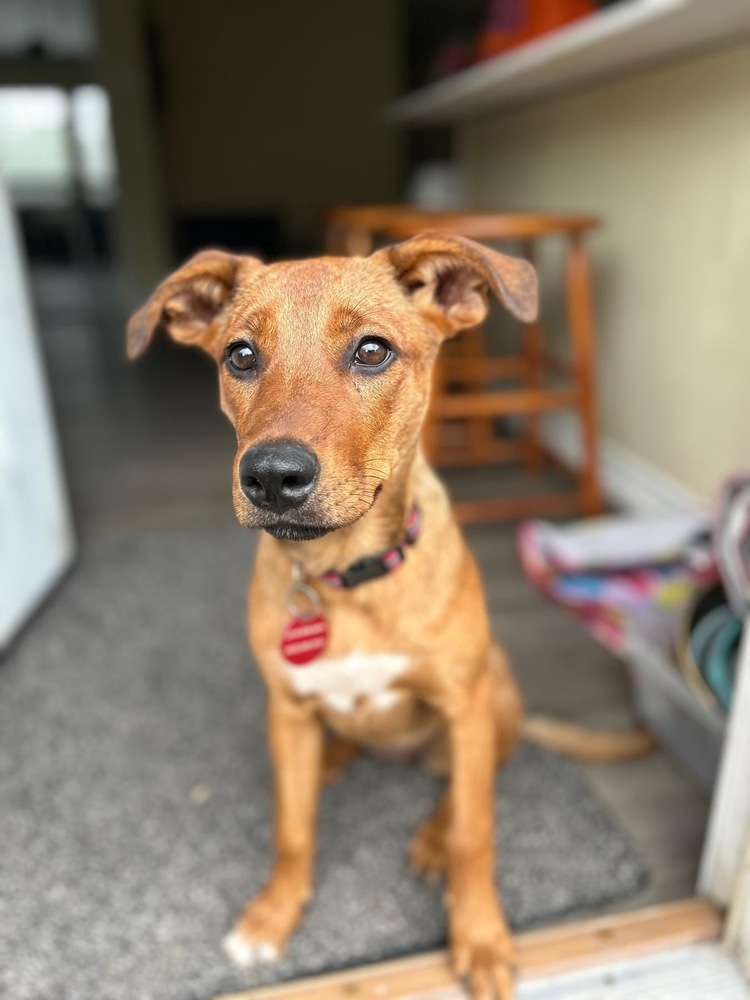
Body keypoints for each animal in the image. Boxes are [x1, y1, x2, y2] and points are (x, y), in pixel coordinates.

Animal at [128, 236, 652, 1000]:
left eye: (372, 351)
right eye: (240, 356)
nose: (271, 476)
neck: (345, 574)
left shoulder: (464, 701)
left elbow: (474, 830)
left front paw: (480, 936)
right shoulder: (287, 706)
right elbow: (292, 828)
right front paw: (272, 915)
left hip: (493, 691)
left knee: (465, 784)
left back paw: (431, 835)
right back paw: (332, 761)